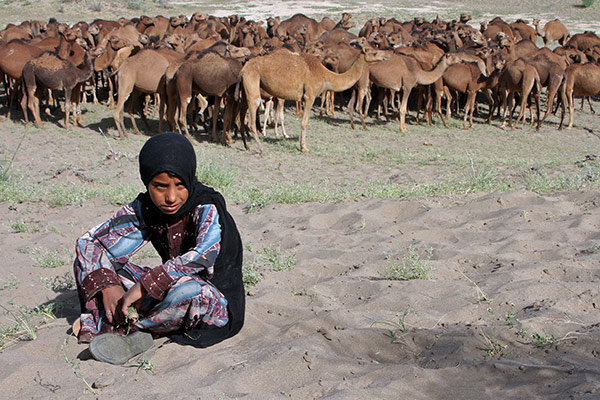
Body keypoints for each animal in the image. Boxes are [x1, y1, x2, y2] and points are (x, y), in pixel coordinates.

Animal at [239, 44, 390, 152]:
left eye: (376, 49)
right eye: (374, 52)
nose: (387, 56)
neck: (324, 75)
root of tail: (243, 69)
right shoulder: (309, 96)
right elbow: (304, 122)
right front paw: (304, 148)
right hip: (252, 85)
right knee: (252, 119)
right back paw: (261, 149)